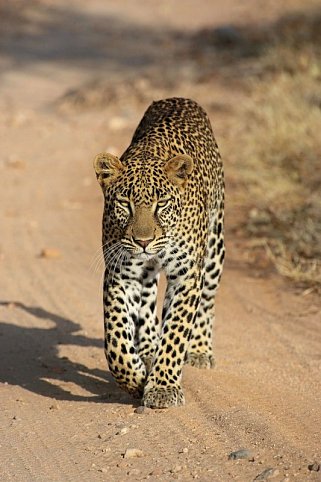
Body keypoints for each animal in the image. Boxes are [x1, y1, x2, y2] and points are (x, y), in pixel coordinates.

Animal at [92, 97, 222, 406]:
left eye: (161, 204)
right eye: (124, 203)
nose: (143, 241)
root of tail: (179, 98)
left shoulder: (187, 275)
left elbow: (175, 332)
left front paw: (163, 387)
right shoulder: (121, 273)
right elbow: (116, 340)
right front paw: (136, 378)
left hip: (214, 250)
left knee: (207, 301)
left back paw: (200, 350)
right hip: (146, 274)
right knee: (147, 305)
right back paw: (149, 349)